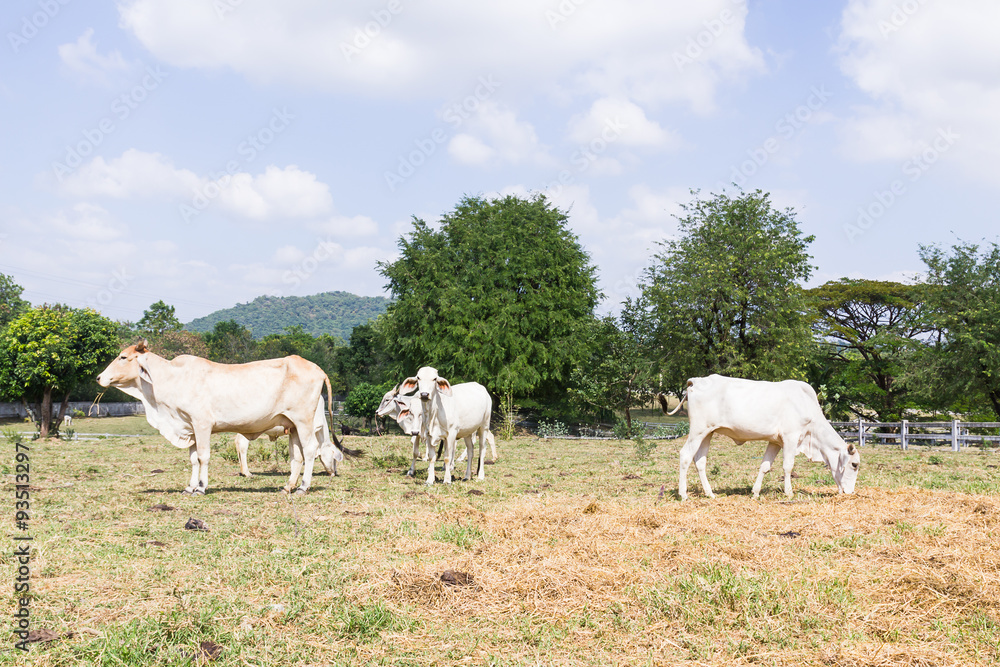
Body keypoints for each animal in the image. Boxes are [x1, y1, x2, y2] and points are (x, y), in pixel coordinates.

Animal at [96, 341, 350, 495]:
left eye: (123, 357)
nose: (99, 377)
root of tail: (317, 368)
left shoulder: (202, 424)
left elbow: (203, 457)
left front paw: (201, 487)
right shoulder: (190, 428)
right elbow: (192, 459)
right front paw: (189, 487)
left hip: (304, 422)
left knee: (310, 451)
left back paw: (303, 487)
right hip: (293, 426)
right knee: (297, 456)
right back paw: (288, 486)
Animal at [657, 374, 860, 500]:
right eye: (854, 464)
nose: (850, 492)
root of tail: (696, 381)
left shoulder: (775, 441)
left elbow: (765, 467)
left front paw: (755, 493)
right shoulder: (791, 437)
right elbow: (788, 466)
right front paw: (789, 493)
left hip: (708, 433)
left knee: (700, 461)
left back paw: (710, 493)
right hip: (697, 431)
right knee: (685, 456)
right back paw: (683, 494)